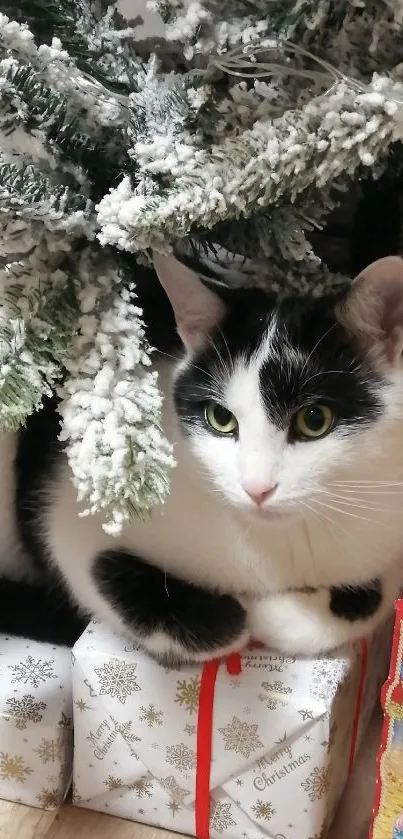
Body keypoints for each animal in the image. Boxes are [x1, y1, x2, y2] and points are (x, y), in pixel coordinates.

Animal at [0, 251, 403, 664]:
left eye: (315, 420)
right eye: (221, 418)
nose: (257, 489)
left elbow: (366, 604)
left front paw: (279, 615)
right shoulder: (70, 508)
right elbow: (94, 563)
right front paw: (243, 615)